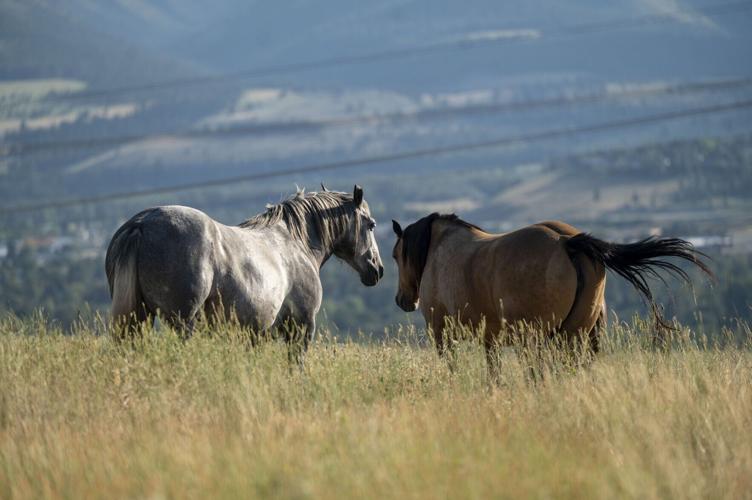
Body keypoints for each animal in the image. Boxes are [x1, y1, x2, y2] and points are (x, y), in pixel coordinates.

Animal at [106, 185, 384, 353]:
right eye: (371, 224)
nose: (377, 269)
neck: (296, 242)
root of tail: (141, 224)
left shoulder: (257, 335)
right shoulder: (302, 326)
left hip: (138, 319)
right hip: (182, 322)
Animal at [390, 214, 711, 368]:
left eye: (395, 256)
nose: (402, 300)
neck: (440, 249)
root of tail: (568, 243)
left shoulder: (442, 335)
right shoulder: (490, 340)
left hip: (539, 340)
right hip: (576, 336)